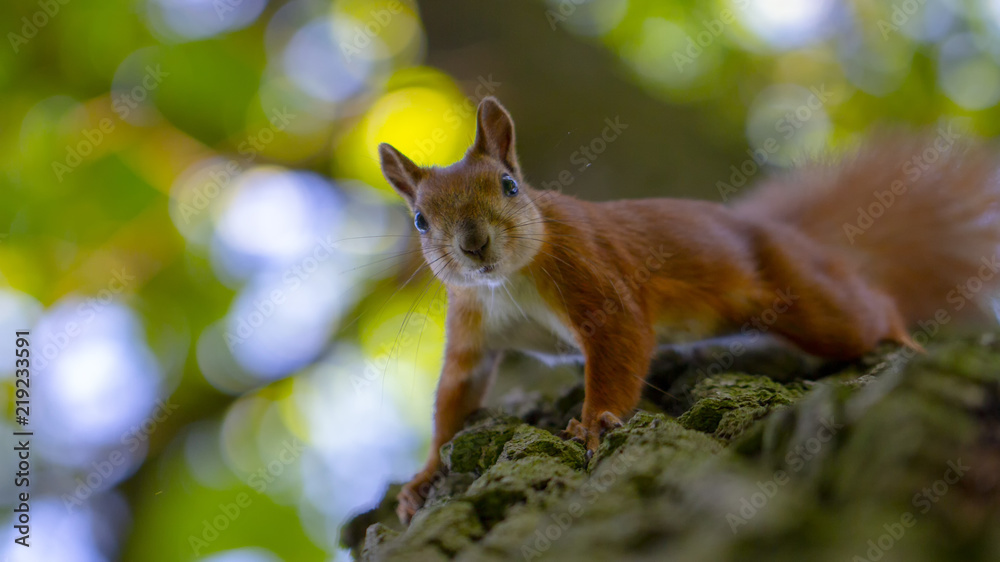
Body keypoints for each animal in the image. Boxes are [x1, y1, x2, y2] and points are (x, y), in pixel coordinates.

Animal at [376, 95, 1000, 520]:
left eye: (509, 186)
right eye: (420, 220)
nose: (474, 245)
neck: (504, 283)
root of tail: (799, 240)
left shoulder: (595, 275)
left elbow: (621, 342)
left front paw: (595, 422)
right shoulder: (472, 328)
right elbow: (455, 396)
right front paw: (423, 477)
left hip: (811, 302)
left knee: (863, 312)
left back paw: (898, 334)